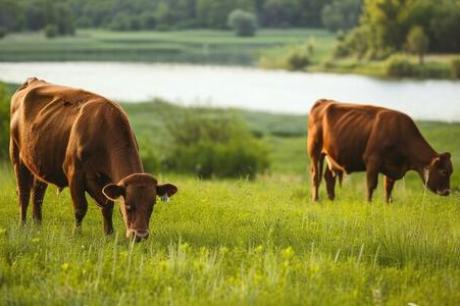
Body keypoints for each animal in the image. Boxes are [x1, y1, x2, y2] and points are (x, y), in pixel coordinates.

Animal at [9, 77, 178, 241]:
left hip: (40, 164)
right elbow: (80, 208)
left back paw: (38, 226)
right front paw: (77, 234)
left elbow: (107, 207)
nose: (140, 235)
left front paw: (109, 233)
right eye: (128, 205)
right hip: (17, 156)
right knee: (23, 194)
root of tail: (33, 81)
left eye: (152, 206)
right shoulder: (74, 173)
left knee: (37, 195)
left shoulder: (107, 182)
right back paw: (22, 226)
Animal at [308, 99, 454, 202]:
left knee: (328, 177)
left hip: (331, 156)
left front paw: (388, 204)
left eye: (451, 171)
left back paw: (332, 199)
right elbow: (371, 186)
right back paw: (316, 200)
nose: (447, 191)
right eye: (443, 171)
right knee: (316, 176)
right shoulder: (372, 161)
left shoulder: (393, 166)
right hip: (315, 151)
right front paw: (369, 204)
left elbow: (388, 187)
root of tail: (324, 101)